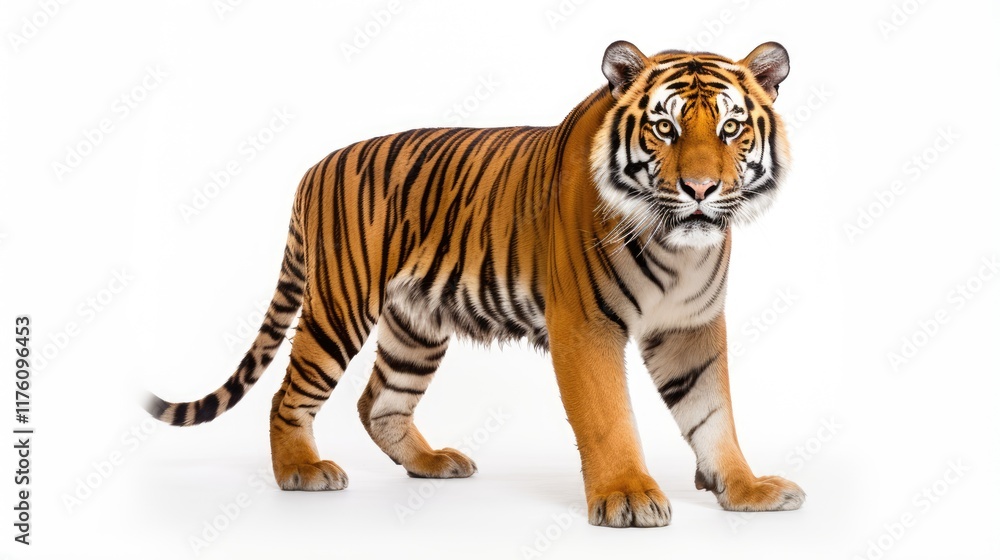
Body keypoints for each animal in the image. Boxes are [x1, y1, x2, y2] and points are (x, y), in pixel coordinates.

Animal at [146, 40, 804, 528]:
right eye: (665, 129)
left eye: (731, 129)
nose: (701, 189)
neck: (678, 248)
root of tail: (314, 167)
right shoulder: (585, 325)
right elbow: (609, 417)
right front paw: (627, 495)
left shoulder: (691, 328)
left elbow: (713, 414)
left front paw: (744, 488)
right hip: (338, 306)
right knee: (290, 394)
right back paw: (301, 472)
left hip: (414, 326)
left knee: (379, 402)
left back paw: (432, 462)